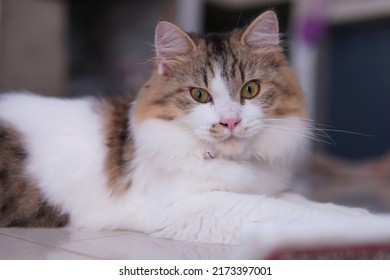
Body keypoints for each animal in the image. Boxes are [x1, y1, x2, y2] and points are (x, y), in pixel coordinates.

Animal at [0, 10, 386, 245]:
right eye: (199, 95)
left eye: (250, 90)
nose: (230, 121)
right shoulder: (188, 208)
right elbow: (291, 213)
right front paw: (369, 229)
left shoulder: (263, 188)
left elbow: (304, 201)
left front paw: (357, 212)